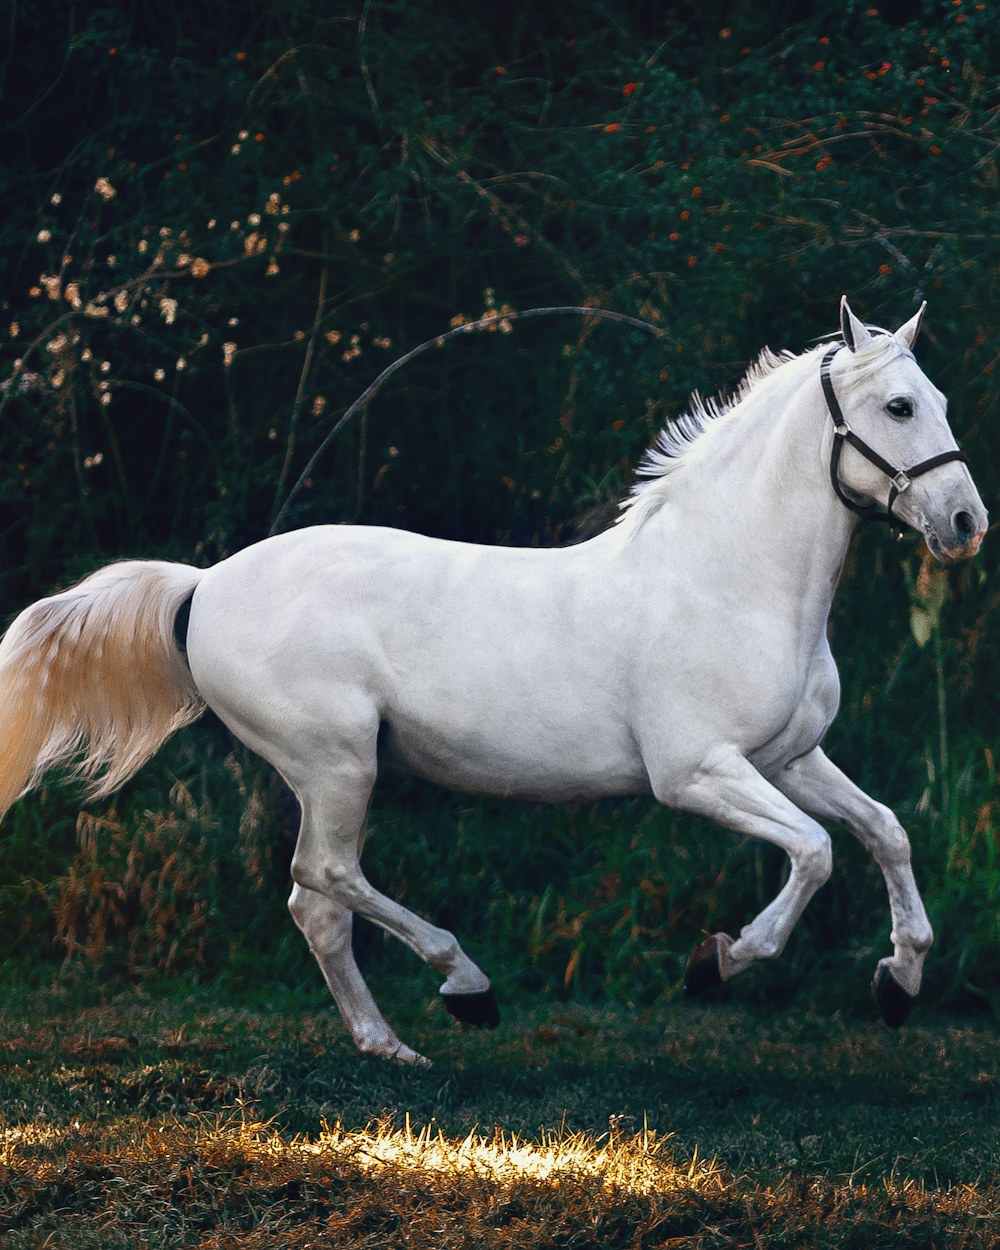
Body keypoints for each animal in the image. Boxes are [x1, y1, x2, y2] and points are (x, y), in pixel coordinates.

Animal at [0, 298, 987, 1065]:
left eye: (940, 400)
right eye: (900, 406)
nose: (966, 522)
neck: (730, 579)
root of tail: (204, 586)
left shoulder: (787, 759)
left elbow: (884, 831)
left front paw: (898, 981)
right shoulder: (698, 773)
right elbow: (816, 853)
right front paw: (721, 960)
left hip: (330, 774)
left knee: (315, 904)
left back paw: (391, 1045)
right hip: (337, 763)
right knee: (326, 875)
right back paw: (466, 987)